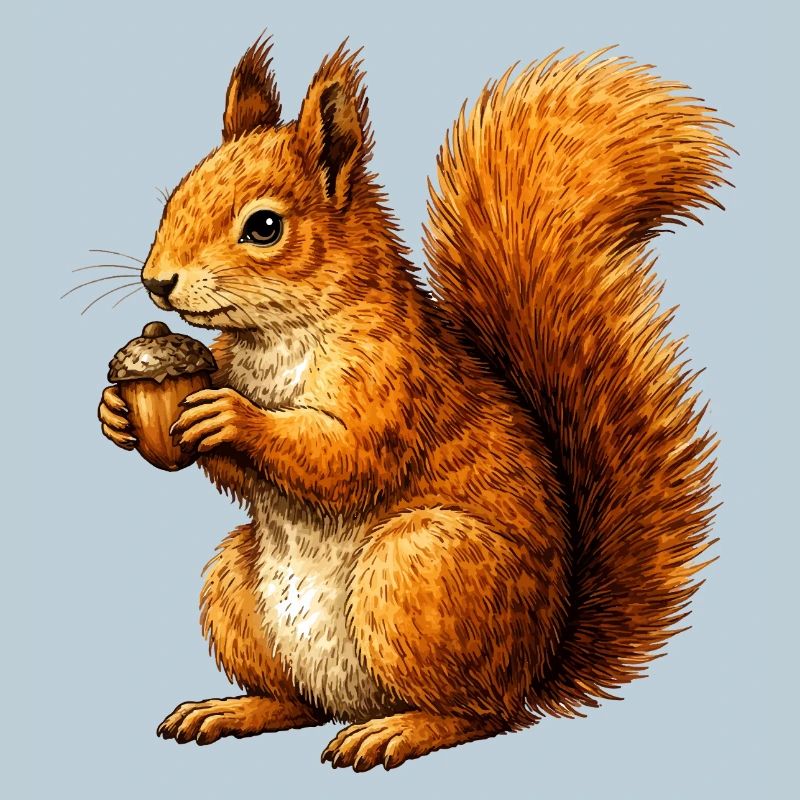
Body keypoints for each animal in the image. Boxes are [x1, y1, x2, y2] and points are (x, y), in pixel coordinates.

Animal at [98, 35, 730, 771]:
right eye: (177, 193)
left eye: (264, 226)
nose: (157, 283)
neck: (276, 337)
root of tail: (535, 667)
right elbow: (242, 474)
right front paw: (117, 414)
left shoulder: (395, 380)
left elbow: (345, 459)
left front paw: (233, 417)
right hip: (235, 586)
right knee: (299, 704)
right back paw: (233, 709)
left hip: (418, 569)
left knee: (482, 715)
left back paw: (399, 730)